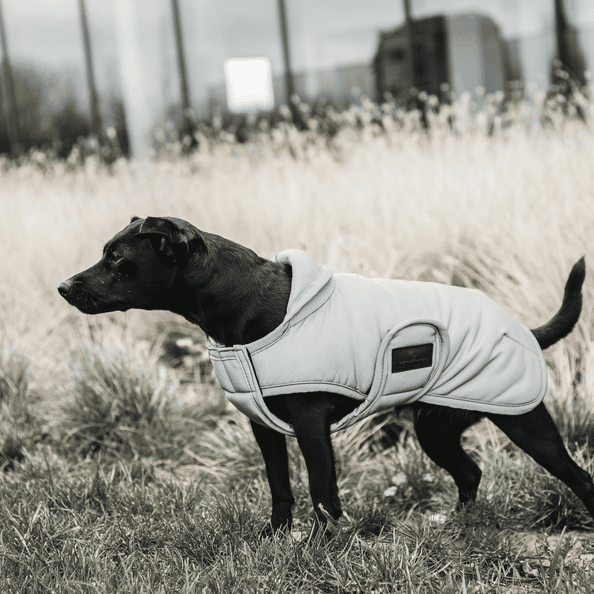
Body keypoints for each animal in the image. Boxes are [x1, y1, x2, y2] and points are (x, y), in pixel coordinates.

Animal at [59, 216, 592, 536]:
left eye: (116, 259)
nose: (63, 286)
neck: (246, 305)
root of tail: (521, 327)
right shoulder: (264, 428)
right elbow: (280, 486)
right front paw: (276, 536)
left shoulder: (311, 426)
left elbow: (321, 489)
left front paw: (324, 544)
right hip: (435, 428)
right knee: (470, 472)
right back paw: (456, 526)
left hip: (525, 423)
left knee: (579, 477)